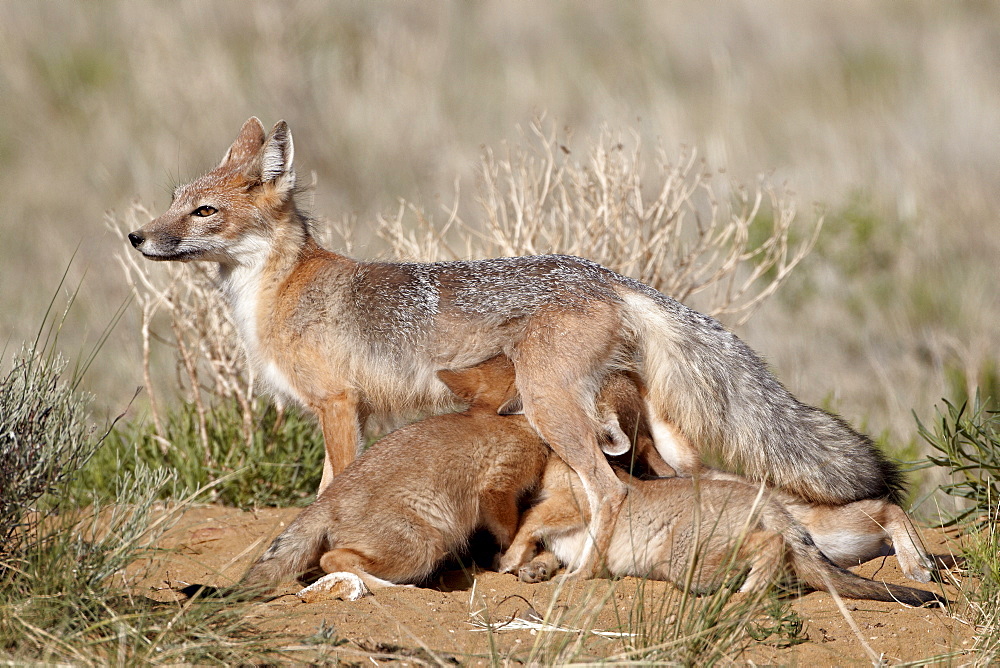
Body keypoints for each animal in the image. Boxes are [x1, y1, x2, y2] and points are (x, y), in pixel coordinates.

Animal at [129, 117, 904, 576]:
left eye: (204, 212)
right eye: (172, 200)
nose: (137, 236)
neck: (278, 287)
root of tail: (606, 274)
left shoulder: (339, 406)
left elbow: (334, 488)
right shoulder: (354, 412)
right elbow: (323, 491)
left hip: (552, 407)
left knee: (608, 492)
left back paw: (585, 575)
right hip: (655, 433)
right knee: (685, 481)